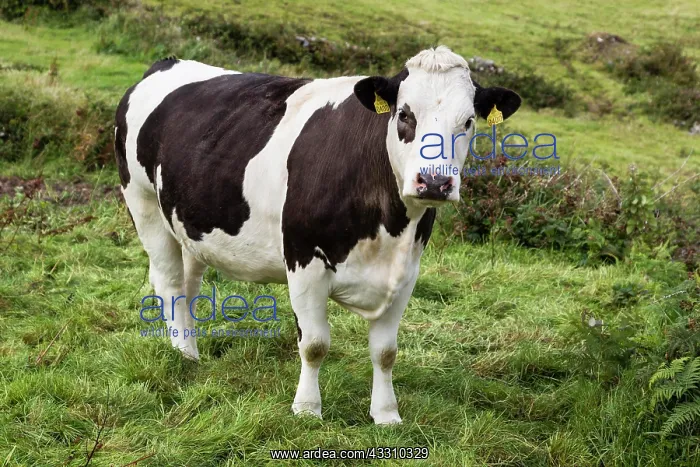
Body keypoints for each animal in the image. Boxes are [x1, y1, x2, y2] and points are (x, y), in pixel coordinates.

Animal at [115, 46, 521, 424]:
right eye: (405, 114)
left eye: (468, 121)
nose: (435, 182)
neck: (387, 230)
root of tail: (167, 63)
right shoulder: (303, 259)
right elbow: (314, 344)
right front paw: (307, 409)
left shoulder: (406, 274)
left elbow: (386, 352)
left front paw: (386, 414)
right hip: (143, 202)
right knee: (169, 282)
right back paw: (182, 354)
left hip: (189, 224)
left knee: (188, 283)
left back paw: (192, 351)